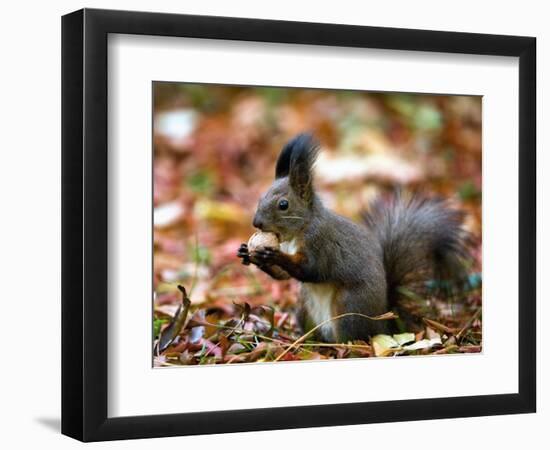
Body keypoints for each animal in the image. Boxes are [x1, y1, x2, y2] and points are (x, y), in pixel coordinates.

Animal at [235, 132, 472, 342]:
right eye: (261, 197)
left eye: (283, 205)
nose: (256, 223)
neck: (299, 231)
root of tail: (383, 322)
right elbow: (283, 276)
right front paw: (248, 253)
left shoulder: (321, 244)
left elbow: (311, 269)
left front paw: (273, 255)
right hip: (304, 307)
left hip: (348, 307)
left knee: (351, 337)